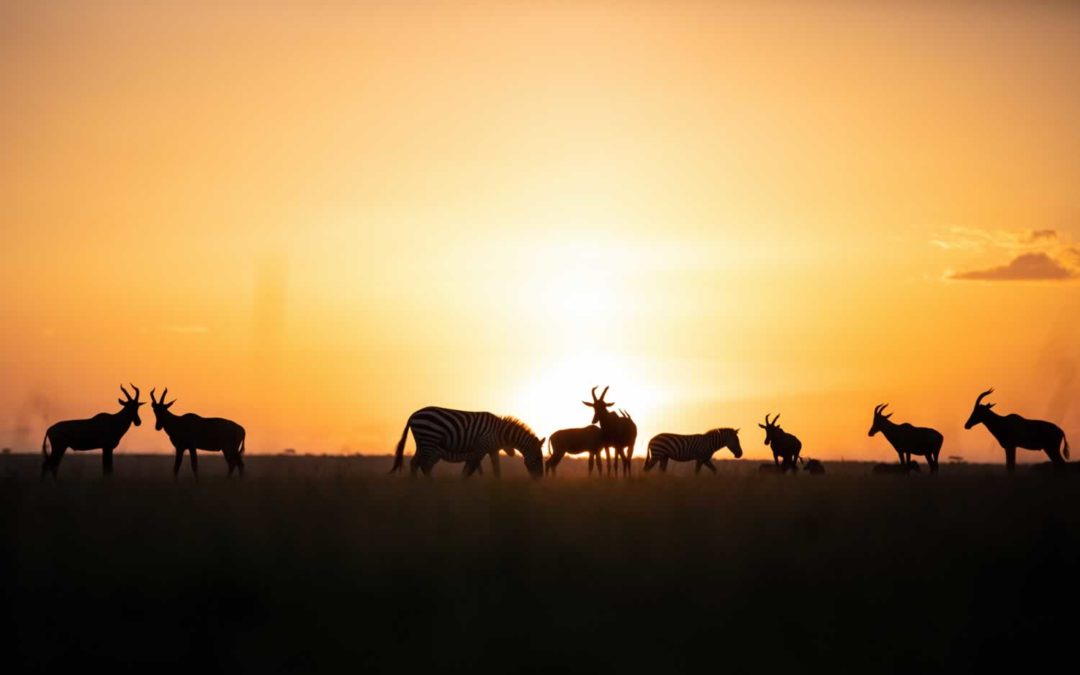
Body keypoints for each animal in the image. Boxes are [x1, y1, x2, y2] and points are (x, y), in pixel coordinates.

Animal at [388, 401, 544, 477]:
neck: (500, 433)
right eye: (538, 459)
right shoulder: (481, 447)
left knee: (414, 463)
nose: (539, 479)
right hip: (430, 439)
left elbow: (497, 470)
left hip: (422, 442)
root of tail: (412, 415)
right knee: (424, 465)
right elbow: (470, 469)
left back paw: (415, 487)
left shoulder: (492, 450)